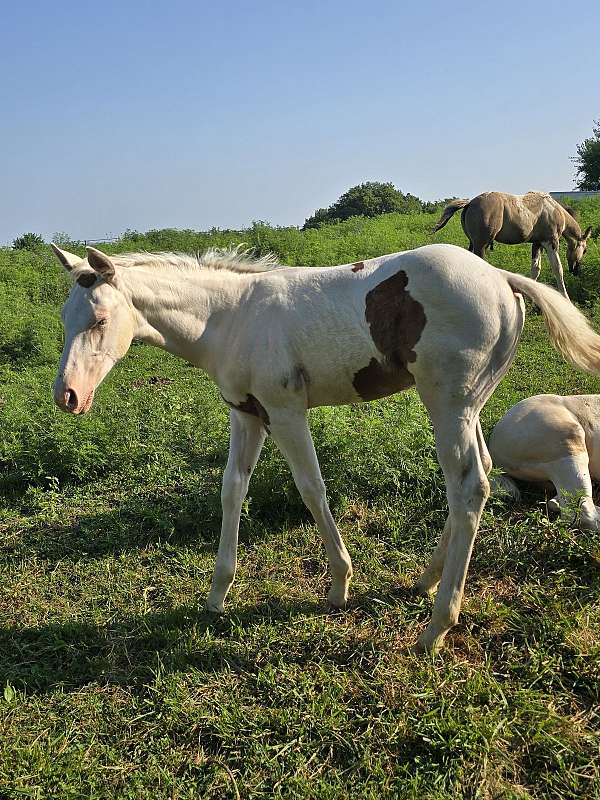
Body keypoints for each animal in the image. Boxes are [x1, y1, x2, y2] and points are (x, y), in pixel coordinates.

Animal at [433, 191, 593, 299]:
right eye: (585, 250)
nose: (575, 270)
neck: (554, 209)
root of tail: (470, 202)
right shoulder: (551, 242)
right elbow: (558, 269)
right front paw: (566, 297)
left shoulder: (537, 244)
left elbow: (535, 270)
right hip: (481, 246)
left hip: (474, 245)